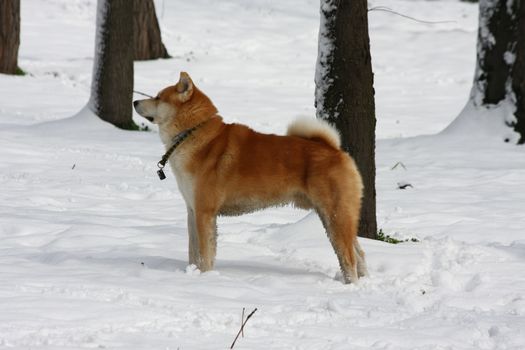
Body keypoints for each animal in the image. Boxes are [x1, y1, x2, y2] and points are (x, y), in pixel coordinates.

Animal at [133, 72, 366, 284]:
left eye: (158, 97)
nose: (135, 101)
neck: (191, 134)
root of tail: (334, 149)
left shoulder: (204, 212)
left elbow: (205, 253)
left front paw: (205, 277)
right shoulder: (192, 210)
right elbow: (193, 250)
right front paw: (192, 273)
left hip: (335, 216)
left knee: (349, 258)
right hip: (333, 217)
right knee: (359, 254)